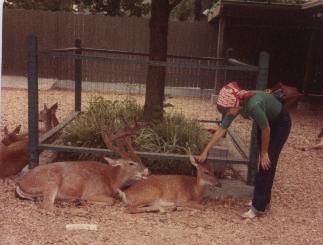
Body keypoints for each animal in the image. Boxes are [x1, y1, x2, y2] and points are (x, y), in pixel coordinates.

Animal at [15, 117, 150, 210]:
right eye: (131, 163)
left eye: (141, 160)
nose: (146, 172)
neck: (111, 180)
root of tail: (20, 182)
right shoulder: (91, 192)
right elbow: (110, 200)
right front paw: (86, 202)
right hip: (52, 181)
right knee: (47, 206)